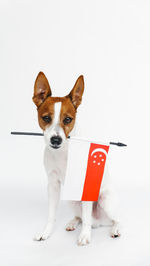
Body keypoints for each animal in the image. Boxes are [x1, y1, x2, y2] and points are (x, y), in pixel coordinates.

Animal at [32, 71, 120, 245]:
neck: (64, 152)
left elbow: (86, 216)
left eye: (67, 119)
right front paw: (46, 232)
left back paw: (114, 229)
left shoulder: (85, 186)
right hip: (72, 200)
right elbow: (51, 215)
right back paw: (73, 222)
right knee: (81, 216)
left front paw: (85, 236)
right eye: (46, 118)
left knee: (114, 219)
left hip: (106, 201)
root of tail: (98, 222)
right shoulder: (53, 185)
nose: (56, 140)